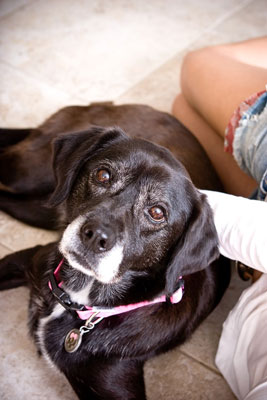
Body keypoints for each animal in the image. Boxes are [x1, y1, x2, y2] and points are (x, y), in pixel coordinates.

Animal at [0, 104, 230, 400]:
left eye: (157, 212)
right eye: (103, 175)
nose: (95, 236)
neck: (82, 303)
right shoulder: (23, 261)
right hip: (26, 174)